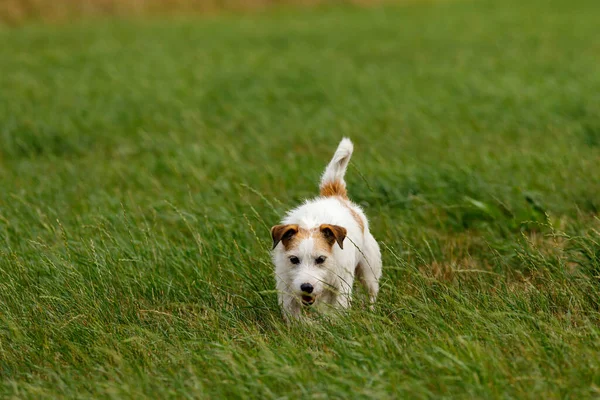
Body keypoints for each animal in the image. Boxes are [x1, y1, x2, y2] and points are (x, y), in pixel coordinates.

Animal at [270, 138, 382, 318]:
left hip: (369, 271)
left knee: (370, 293)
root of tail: (335, 195)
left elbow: (338, 309)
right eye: (294, 259)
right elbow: (294, 314)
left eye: (321, 259)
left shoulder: (341, 286)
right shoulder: (286, 287)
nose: (306, 287)